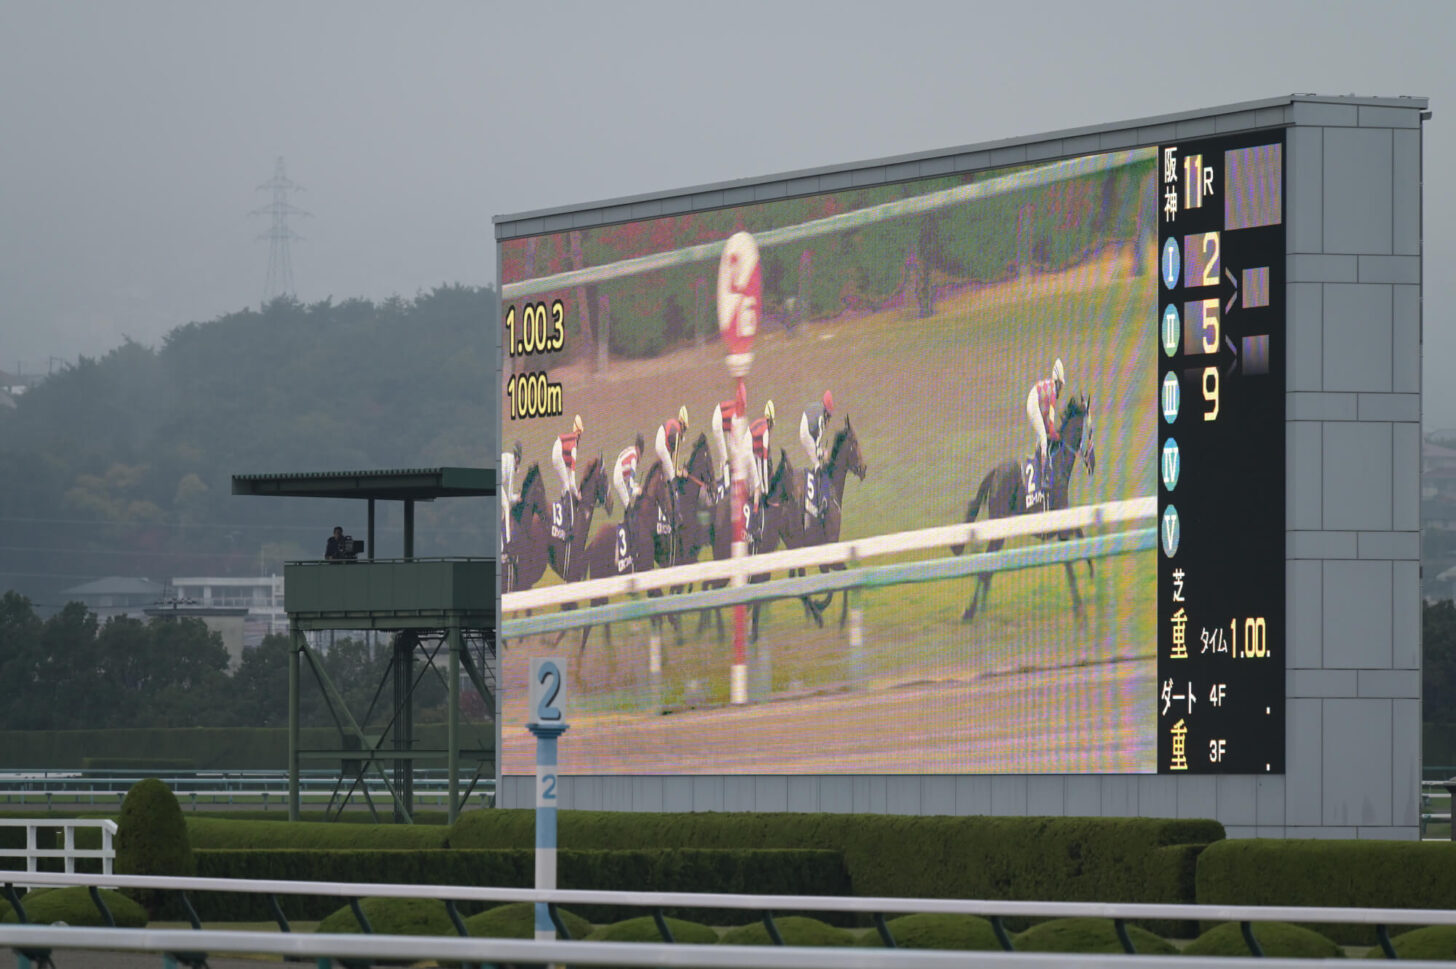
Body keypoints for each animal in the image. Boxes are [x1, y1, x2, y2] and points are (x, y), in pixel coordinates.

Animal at [949, 389, 1094, 622]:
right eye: (1091, 430)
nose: (1092, 461)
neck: (1059, 463)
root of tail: (994, 473)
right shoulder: (1060, 521)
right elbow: (1071, 555)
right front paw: (1080, 601)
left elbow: (1079, 538)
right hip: (999, 524)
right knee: (986, 565)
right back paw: (971, 611)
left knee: (988, 567)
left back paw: (978, 609)